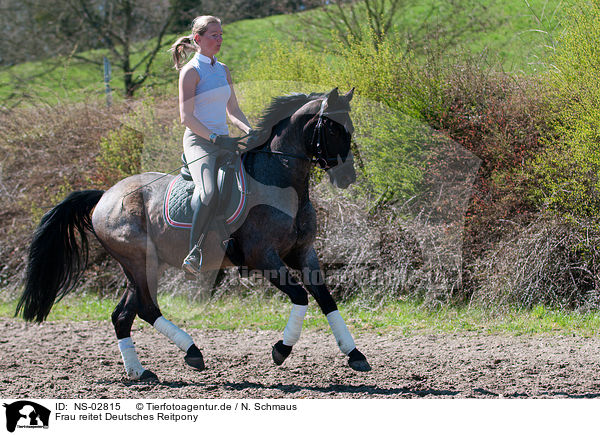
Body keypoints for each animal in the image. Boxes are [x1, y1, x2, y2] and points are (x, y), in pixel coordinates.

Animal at [15, 87, 370, 380]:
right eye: (332, 128)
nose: (348, 177)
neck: (279, 182)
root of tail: (105, 196)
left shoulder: (303, 253)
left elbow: (325, 298)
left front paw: (355, 355)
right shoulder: (263, 257)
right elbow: (300, 296)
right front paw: (281, 350)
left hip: (138, 267)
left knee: (123, 315)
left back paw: (140, 372)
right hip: (140, 261)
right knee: (146, 309)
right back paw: (192, 353)